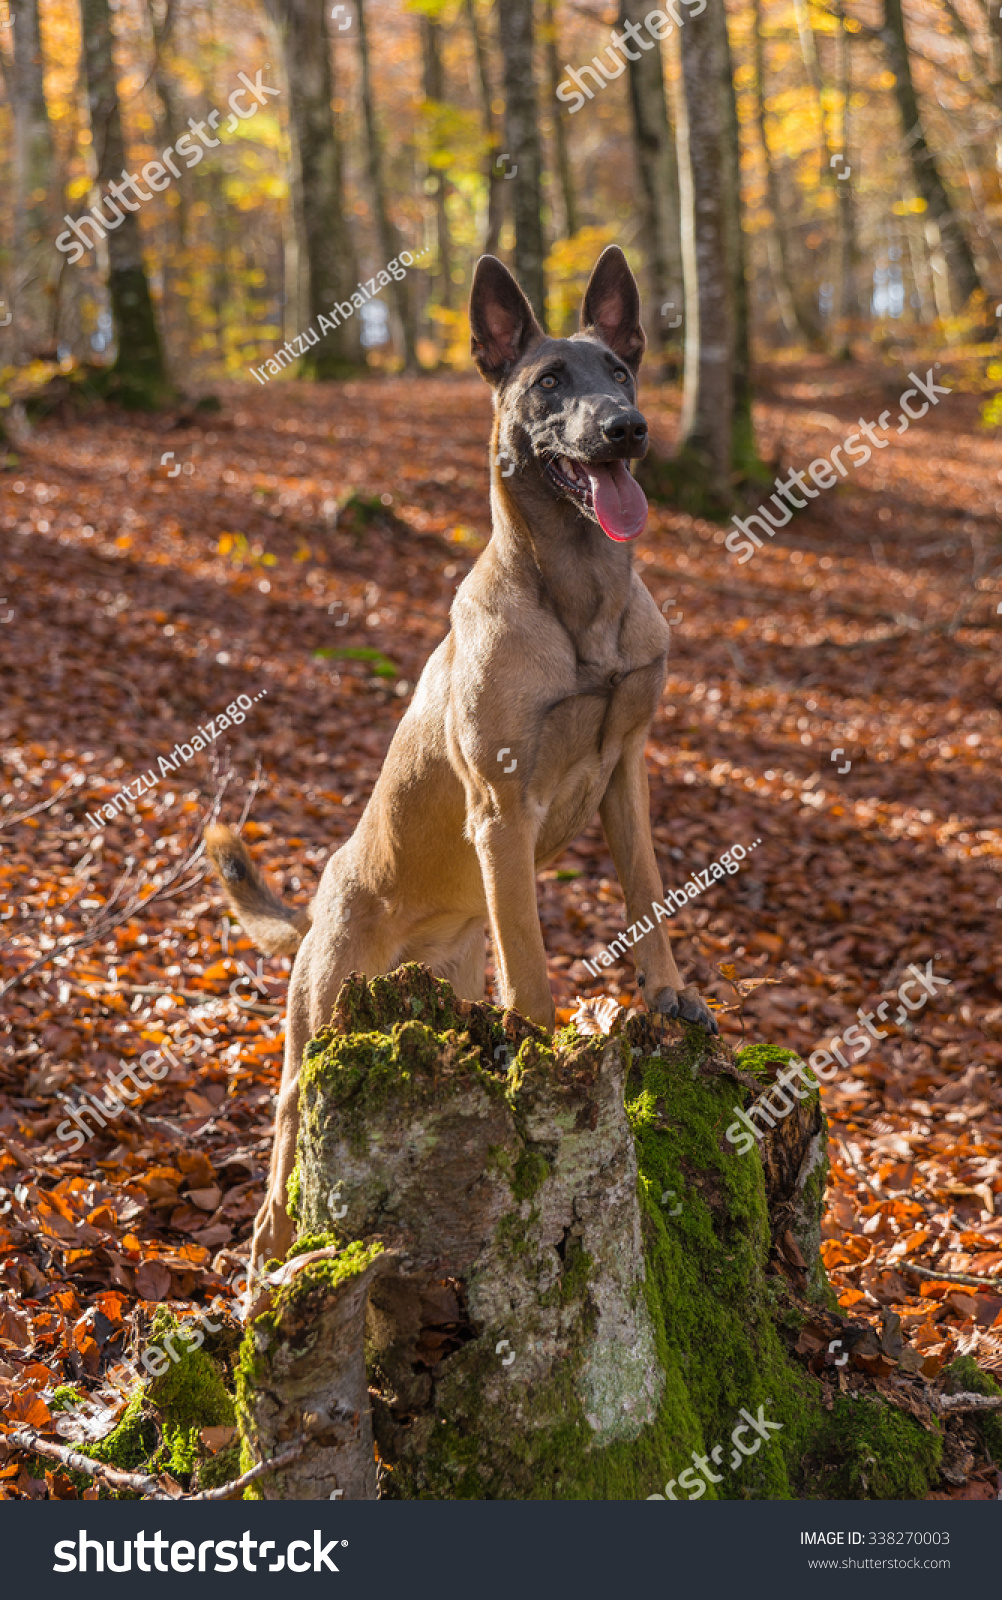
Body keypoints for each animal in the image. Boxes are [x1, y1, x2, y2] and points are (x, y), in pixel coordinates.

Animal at [206, 246, 713, 1273]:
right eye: (550, 381)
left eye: (622, 370)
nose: (628, 429)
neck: (579, 601)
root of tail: (320, 904)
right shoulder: (501, 807)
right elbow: (533, 959)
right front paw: (541, 1042)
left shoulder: (627, 774)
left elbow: (647, 892)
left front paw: (666, 994)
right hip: (317, 1030)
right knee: (280, 1156)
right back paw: (264, 1259)